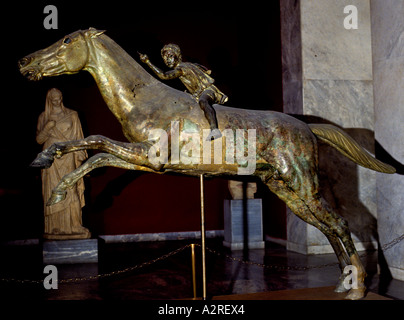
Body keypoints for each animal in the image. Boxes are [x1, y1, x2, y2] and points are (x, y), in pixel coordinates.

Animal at [19, 28, 394, 300]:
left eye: (66, 40)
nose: (25, 61)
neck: (144, 99)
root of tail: (307, 127)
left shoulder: (149, 156)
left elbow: (96, 142)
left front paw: (54, 185)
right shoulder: (143, 160)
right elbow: (96, 151)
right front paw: (48, 168)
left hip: (302, 182)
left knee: (340, 224)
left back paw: (358, 288)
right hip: (285, 189)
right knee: (327, 226)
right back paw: (343, 283)